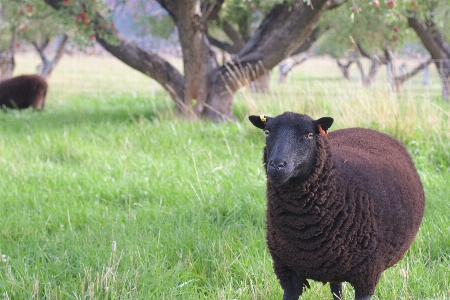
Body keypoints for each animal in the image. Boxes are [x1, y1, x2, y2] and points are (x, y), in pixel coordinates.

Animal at [250, 112, 426, 300]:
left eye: (309, 135)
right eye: (267, 132)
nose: (277, 165)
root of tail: (364, 129)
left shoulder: (367, 276)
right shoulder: (287, 272)